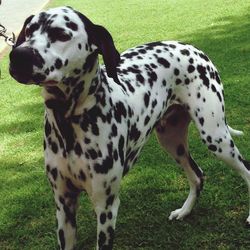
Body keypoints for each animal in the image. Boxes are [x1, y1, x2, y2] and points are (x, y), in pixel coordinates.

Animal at [8, 5, 249, 250]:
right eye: (29, 31)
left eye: (61, 34)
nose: (18, 55)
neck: (70, 121)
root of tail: (192, 47)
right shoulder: (64, 206)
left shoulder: (106, 207)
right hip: (172, 141)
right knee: (198, 176)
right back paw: (184, 211)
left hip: (216, 138)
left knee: (245, 168)